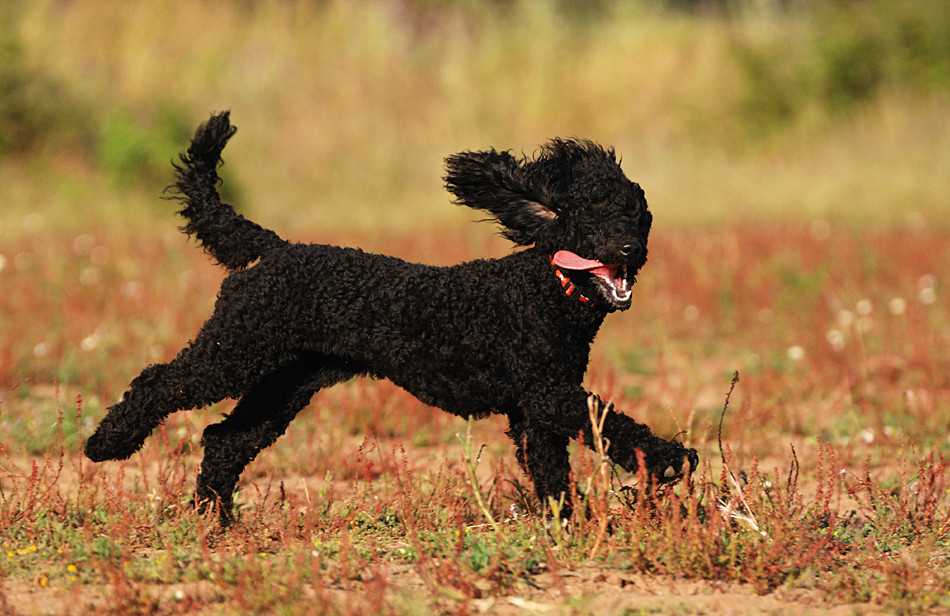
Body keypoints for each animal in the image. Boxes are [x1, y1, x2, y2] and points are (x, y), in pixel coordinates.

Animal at [85, 114, 700, 520]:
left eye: (637, 214)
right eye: (592, 217)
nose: (628, 248)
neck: (546, 289)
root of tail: (276, 248)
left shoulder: (536, 409)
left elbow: (553, 472)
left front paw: (566, 525)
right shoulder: (549, 393)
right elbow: (613, 424)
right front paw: (671, 458)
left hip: (286, 381)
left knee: (224, 439)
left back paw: (217, 518)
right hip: (234, 351)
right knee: (157, 382)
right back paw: (107, 444)